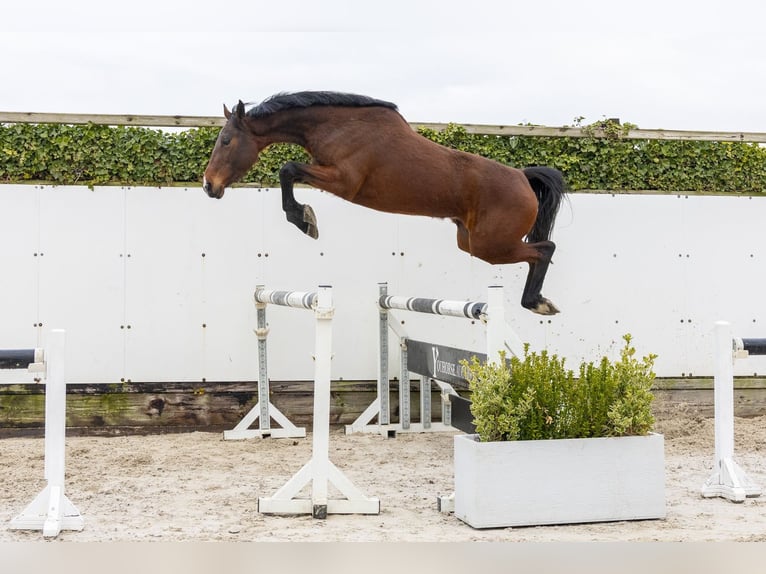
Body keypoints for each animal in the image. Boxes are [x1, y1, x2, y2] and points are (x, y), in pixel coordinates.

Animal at [202, 91, 567, 315]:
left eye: (226, 141)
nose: (208, 185)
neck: (338, 126)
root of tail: (522, 177)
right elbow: (289, 171)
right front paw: (305, 218)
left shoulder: (344, 182)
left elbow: (288, 169)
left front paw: (305, 220)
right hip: (471, 242)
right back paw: (538, 301)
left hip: (490, 245)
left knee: (544, 249)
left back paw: (537, 303)